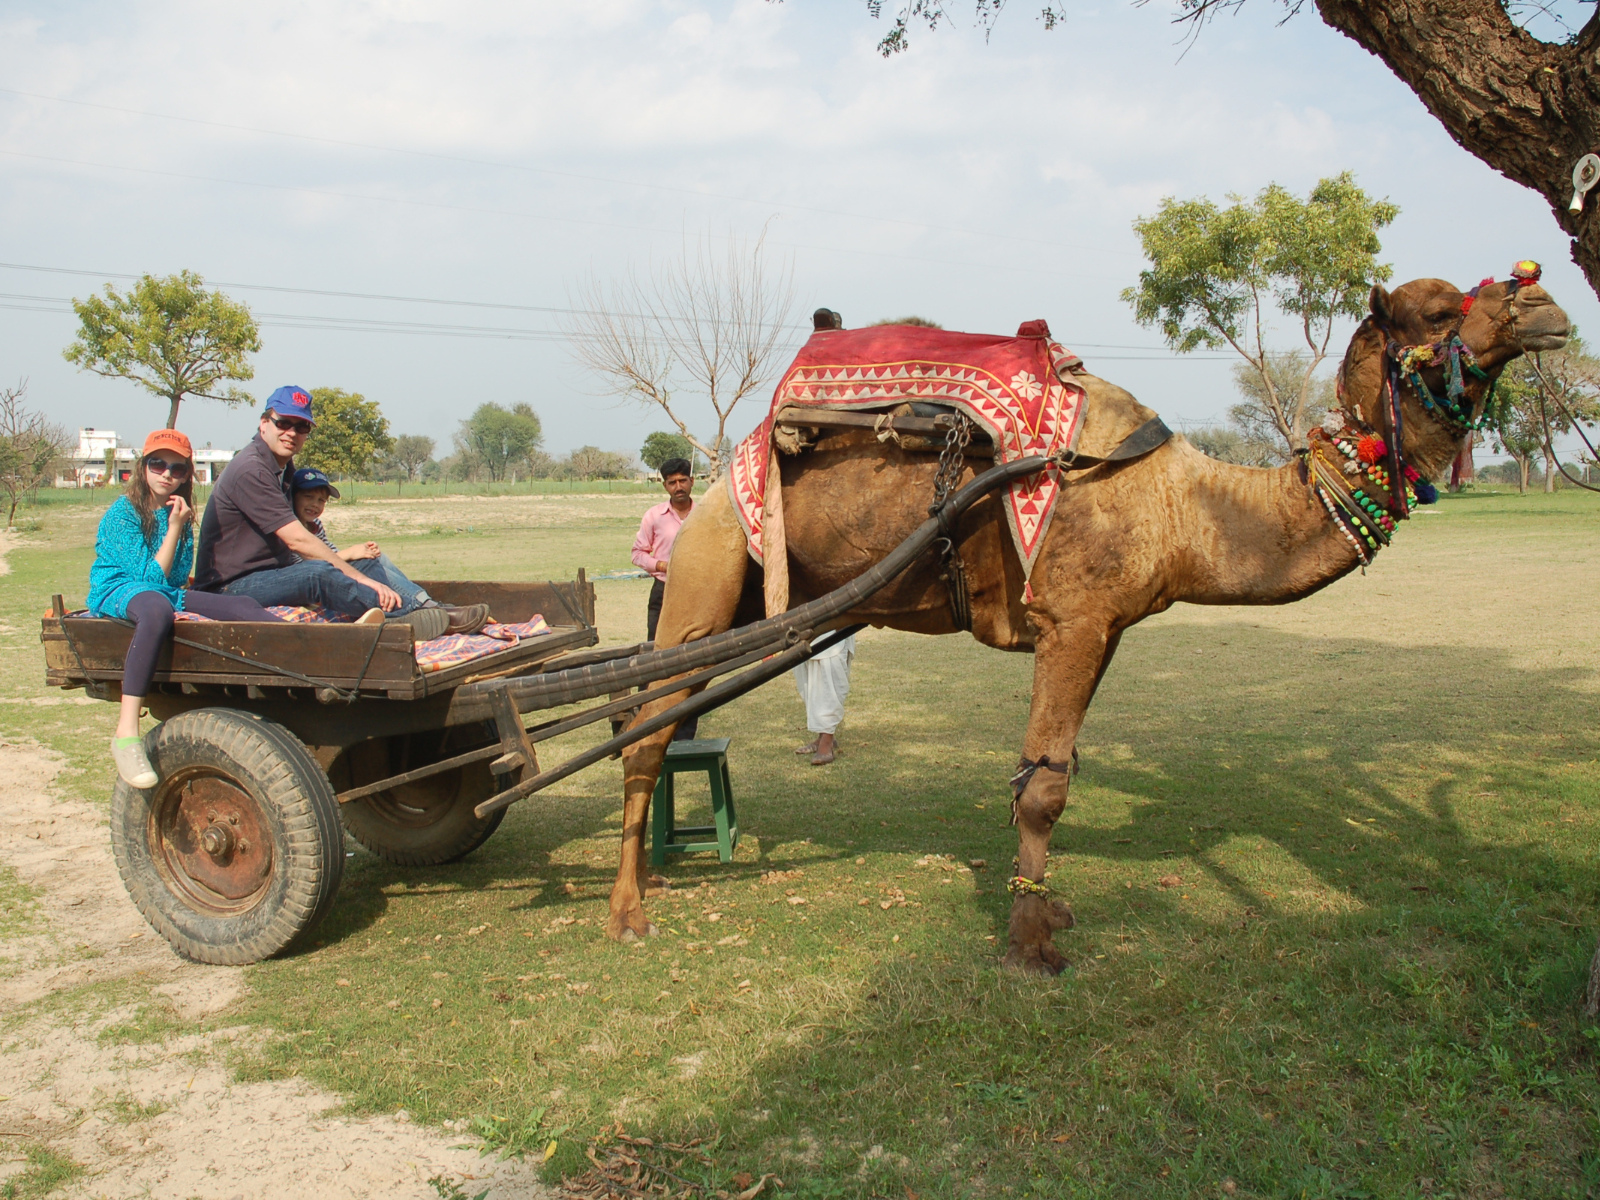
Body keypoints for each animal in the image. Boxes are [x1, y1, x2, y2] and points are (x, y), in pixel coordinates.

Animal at [609, 271, 1571, 974]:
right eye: (1439, 310)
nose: (1545, 305)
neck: (1180, 504)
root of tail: (727, 463)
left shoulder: (1104, 627)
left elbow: (1057, 767)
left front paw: (1053, 908)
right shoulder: (1070, 619)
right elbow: (1041, 787)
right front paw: (1032, 944)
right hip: (710, 567)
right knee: (644, 732)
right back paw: (627, 913)